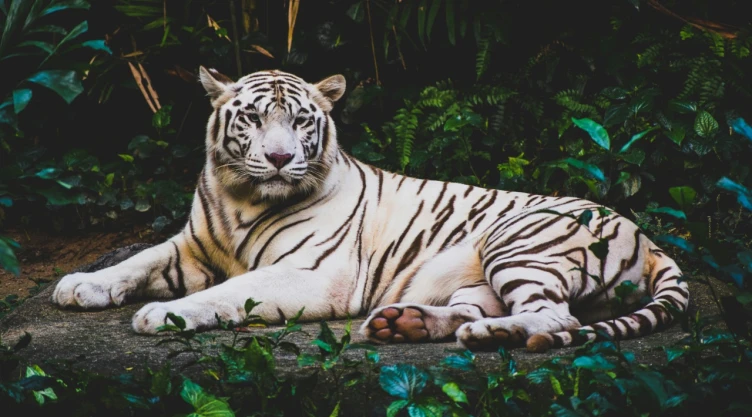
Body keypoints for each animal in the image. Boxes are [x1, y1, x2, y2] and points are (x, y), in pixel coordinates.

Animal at [51, 67, 689, 352]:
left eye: (300, 121)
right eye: (253, 118)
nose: (279, 158)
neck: (241, 198)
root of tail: (649, 238)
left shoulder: (313, 274)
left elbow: (228, 292)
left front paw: (163, 315)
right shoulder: (192, 245)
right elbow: (137, 259)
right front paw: (80, 285)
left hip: (518, 242)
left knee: (558, 318)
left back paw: (492, 334)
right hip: (479, 275)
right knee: (479, 307)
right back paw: (405, 322)